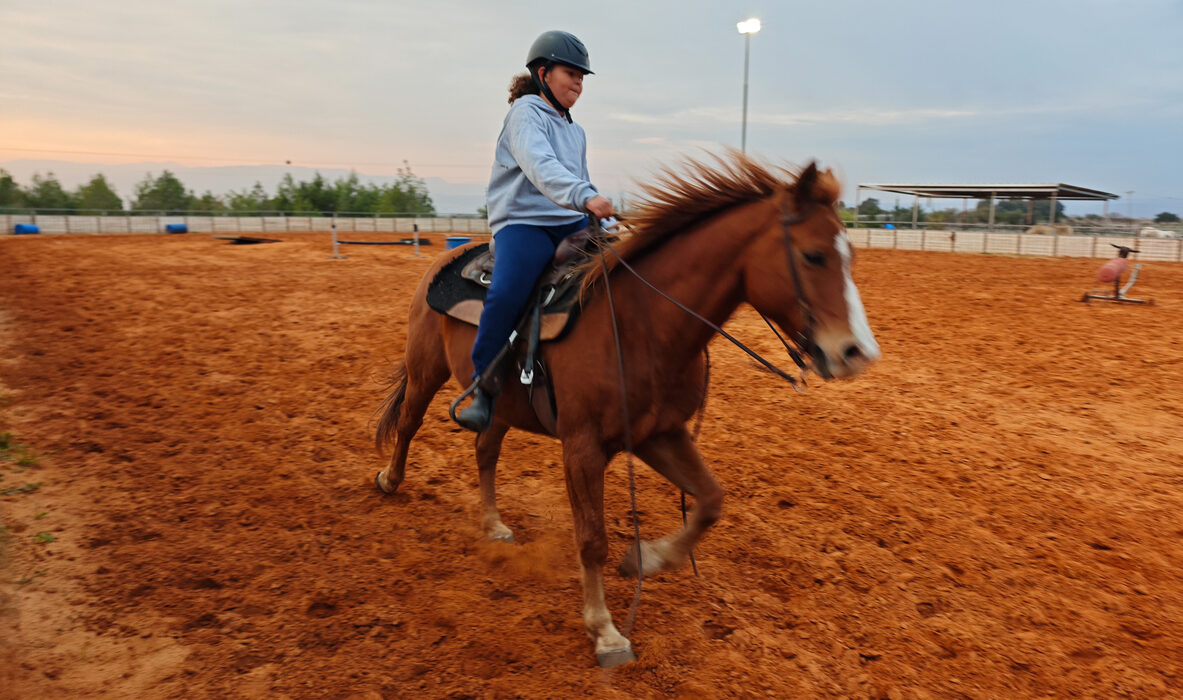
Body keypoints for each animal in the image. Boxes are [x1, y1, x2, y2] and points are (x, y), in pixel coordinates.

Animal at [373, 155, 881, 667]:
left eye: (851, 257)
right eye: (813, 255)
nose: (857, 352)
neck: (642, 323)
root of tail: (447, 257)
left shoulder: (660, 433)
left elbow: (710, 501)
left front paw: (644, 559)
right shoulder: (582, 447)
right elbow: (592, 538)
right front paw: (605, 630)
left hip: (502, 406)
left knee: (485, 449)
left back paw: (494, 524)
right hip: (426, 369)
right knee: (411, 421)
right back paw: (390, 480)